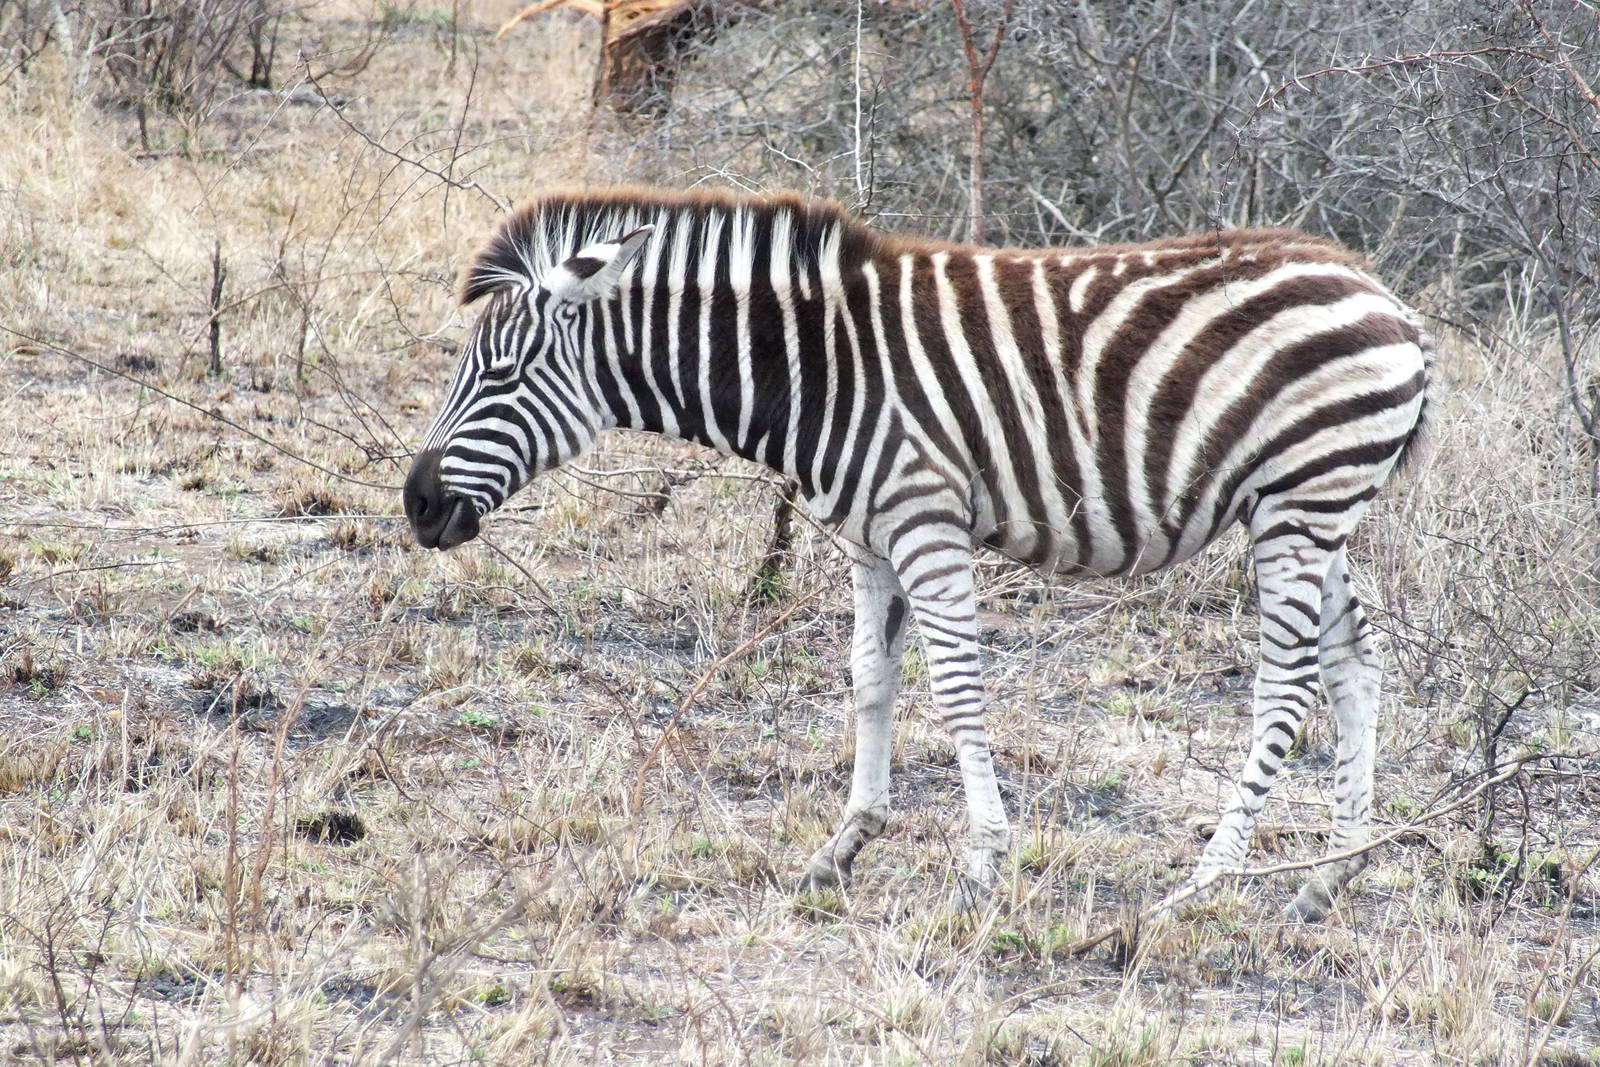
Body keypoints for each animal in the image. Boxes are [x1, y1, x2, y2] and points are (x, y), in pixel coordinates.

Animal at [404, 187, 1429, 920]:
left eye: (499, 374)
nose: (416, 506)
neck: (819, 371)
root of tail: (1388, 298)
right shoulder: (868, 535)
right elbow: (870, 677)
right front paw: (844, 845)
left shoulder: (924, 519)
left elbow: (959, 686)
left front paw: (982, 860)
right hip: (1309, 507)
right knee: (1357, 658)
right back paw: (1332, 872)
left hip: (1300, 499)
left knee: (1288, 683)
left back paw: (1210, 877)